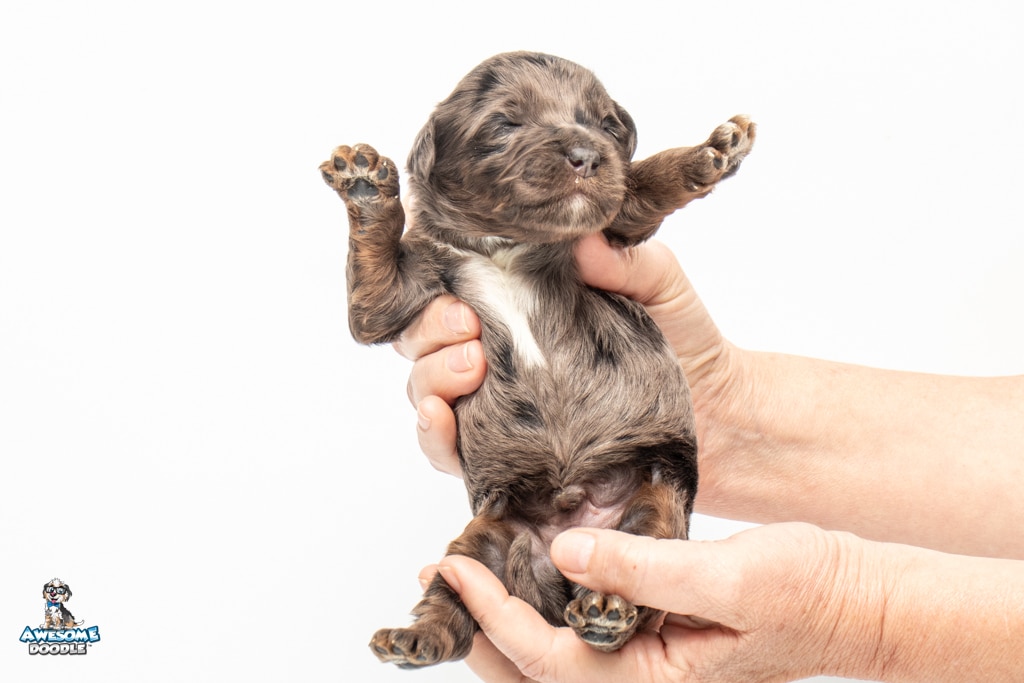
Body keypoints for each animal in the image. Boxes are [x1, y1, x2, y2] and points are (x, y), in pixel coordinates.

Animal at [320, 51, 754, 668]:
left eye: (606, 126)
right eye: (505, 124)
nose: (587, 156)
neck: (507, 245)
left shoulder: (611, 229)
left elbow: (641, 184)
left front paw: (711, 152)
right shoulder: (399, 293)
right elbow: (372, 291)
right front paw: (364, 186)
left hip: (655, 512)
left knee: (636, 575)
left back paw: (605, 611)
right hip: (482, 540)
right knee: (456, 603)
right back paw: (416, 637)